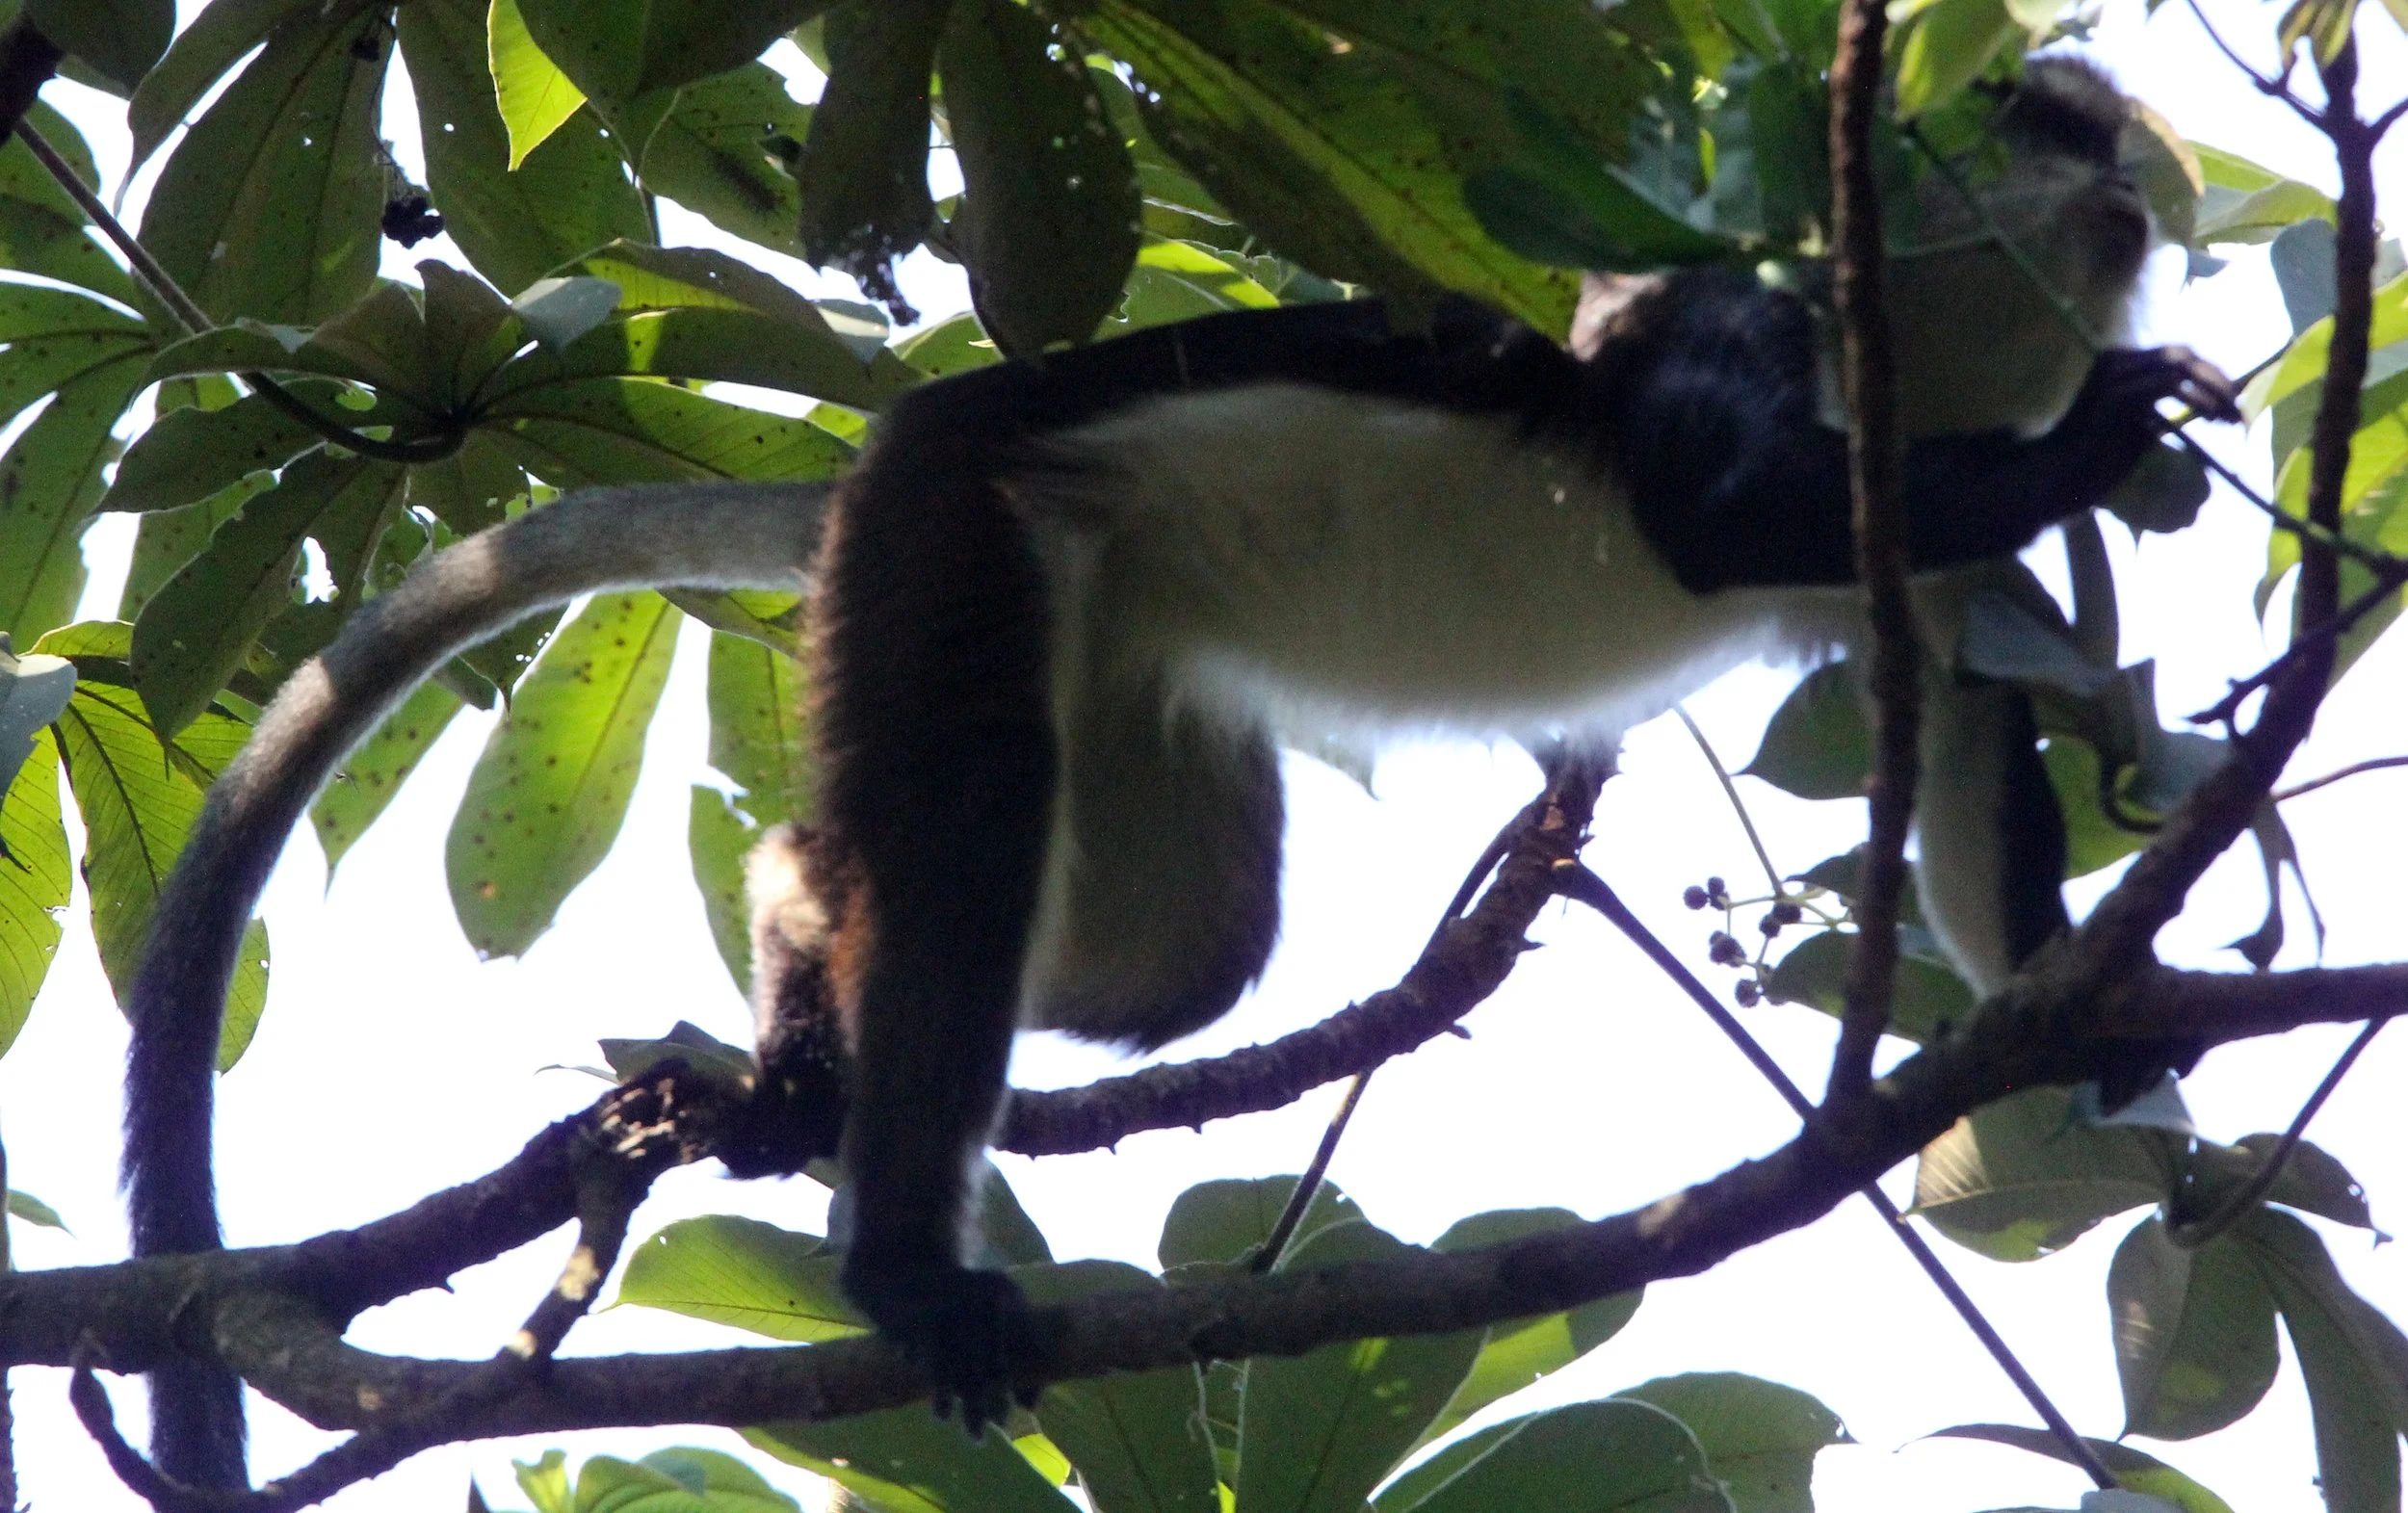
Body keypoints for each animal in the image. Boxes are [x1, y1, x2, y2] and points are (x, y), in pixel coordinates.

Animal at [118, 54, 2234, 1480]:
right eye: (2045, 120)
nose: (2140, 189)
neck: (1900, 368)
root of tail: (880, 454)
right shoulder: (1738, 316)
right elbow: (1709, 515)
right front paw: (2119, 423)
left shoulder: (1923, 536)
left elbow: (1970, 740)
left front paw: (2105, 1037)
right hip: (957, 532)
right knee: (972, 838)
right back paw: (902, 1256)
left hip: (1119, 652)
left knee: (1168, 952)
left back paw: (800, 947)